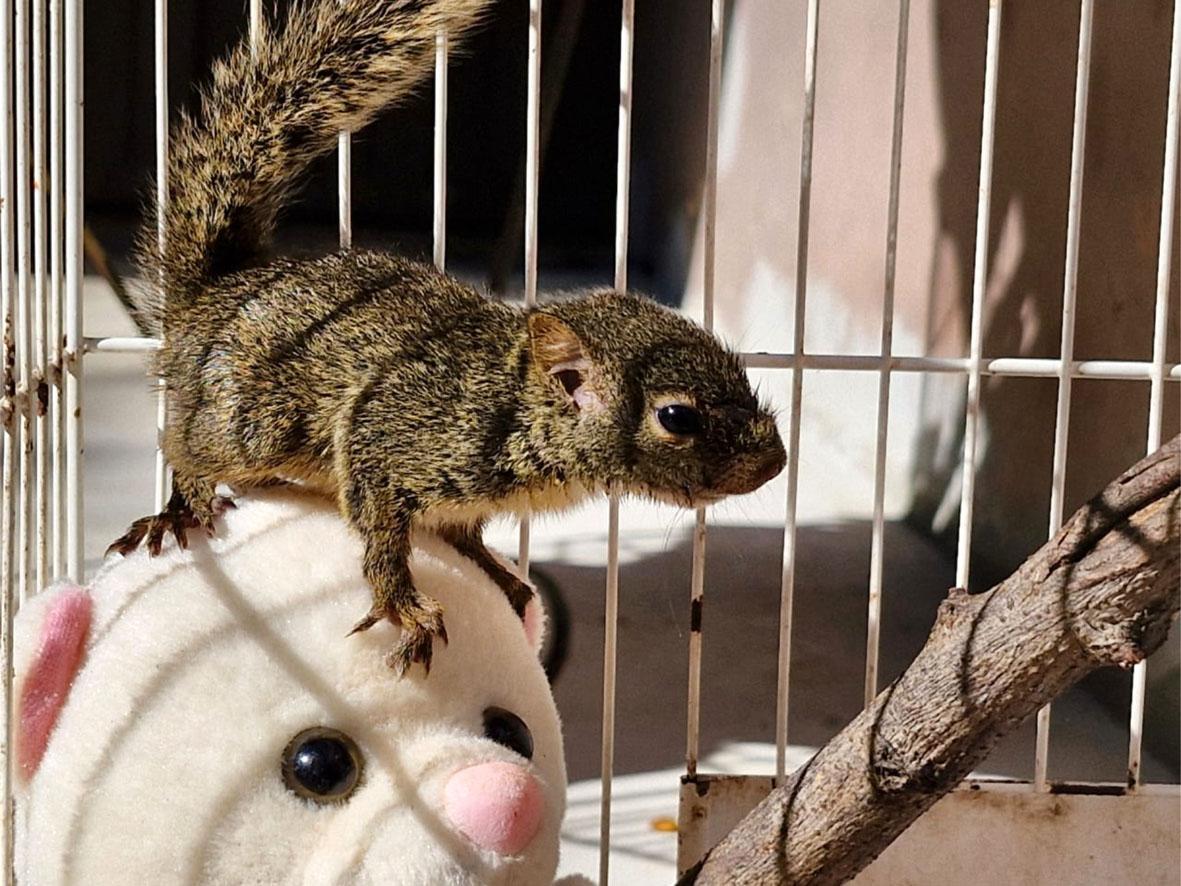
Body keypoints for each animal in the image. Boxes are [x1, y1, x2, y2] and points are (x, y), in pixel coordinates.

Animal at [112, 0, 784, 670]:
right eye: (677, 417)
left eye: (740, 370)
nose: (775, 463)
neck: (515, 405)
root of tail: (213, 293)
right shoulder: (391, 437)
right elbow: (381, 531)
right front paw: (402, 601)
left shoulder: (467, 500)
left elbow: (469, 539)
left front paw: (509, 580)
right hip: (254, 422)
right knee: (186, 445)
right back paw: (181, 506)